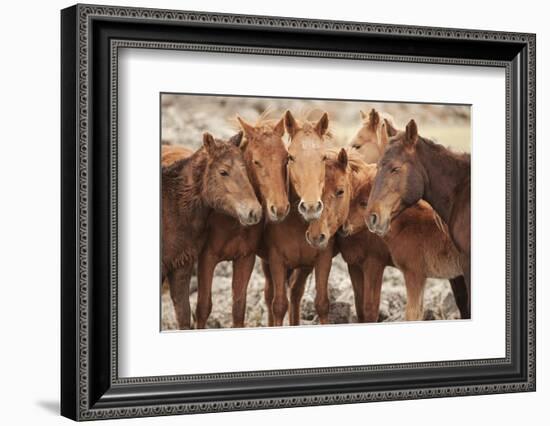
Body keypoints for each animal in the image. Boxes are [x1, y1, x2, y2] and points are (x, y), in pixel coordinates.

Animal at [162, 131, 264, 328]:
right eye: (223, 172)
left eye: (245, 170)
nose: (254, 212)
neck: (173, 206)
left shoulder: (181, 267)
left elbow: (184, 315)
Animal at [195, 115, 292, 328]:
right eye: (256, 162)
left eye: (286, 159)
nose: (280, 208)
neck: (232, 220)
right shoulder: (206, 258)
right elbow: (203, 307)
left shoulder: (245, 258)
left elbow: (238, 308)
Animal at [260, 110, 334, 326]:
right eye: (290, 157)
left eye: (324, 157)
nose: (311, 207)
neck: (295, 225)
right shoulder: (276, 261)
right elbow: (278, 305)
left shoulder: (323, 259)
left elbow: (322, 303)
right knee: (270, 295)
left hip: (303, 268)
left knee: (295, 293)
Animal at [340, 151, 466, 322]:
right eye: (351, 198)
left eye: (364, 203)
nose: (343, 227)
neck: (409, 225)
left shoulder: (414, 274)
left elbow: (412, 314)